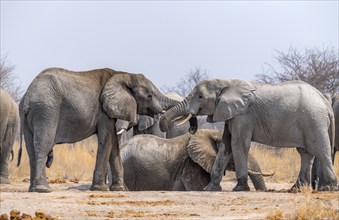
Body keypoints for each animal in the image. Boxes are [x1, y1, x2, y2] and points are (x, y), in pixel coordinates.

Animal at [17, 67, 181, 192]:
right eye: (149, 96)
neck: (123, 74)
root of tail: (27, 97)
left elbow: (113, 143)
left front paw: (118, 189)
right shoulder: (103, 111)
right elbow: (107, 139)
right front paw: (101, 189)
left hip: (32, 115)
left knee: (31, 148)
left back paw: (33, 189)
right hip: (46, 110)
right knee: (43, 144)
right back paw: (43, 189)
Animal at [161, 78, 338, 191]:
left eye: (200, 96)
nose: (192, 128)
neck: (226, 82)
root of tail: (325, 102)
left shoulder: (243, 116)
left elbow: (238, 144)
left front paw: (239, 189)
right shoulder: (231, 115)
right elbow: (226, 145)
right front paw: (209, 189)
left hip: (314, 121)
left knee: (320, 150)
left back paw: (328, 188)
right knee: (305, 153)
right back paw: (296, 189)